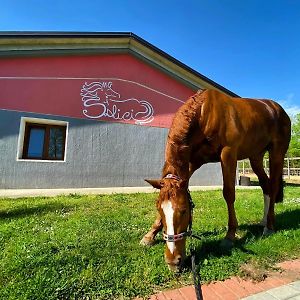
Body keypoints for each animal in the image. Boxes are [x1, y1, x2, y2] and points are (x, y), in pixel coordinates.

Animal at [142, 89, 292, 272]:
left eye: (184, 210)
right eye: (159, 209)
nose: (173, 261)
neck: (203, 113)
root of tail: (277, 109)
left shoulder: (228, 154)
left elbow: (229, 193)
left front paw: (230, 236)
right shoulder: (193, 162)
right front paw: (149, 235)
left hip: (277, 152)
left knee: (274, 185)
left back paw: (269, 227)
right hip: (256, 156)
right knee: (266, 185)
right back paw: (264, 221)